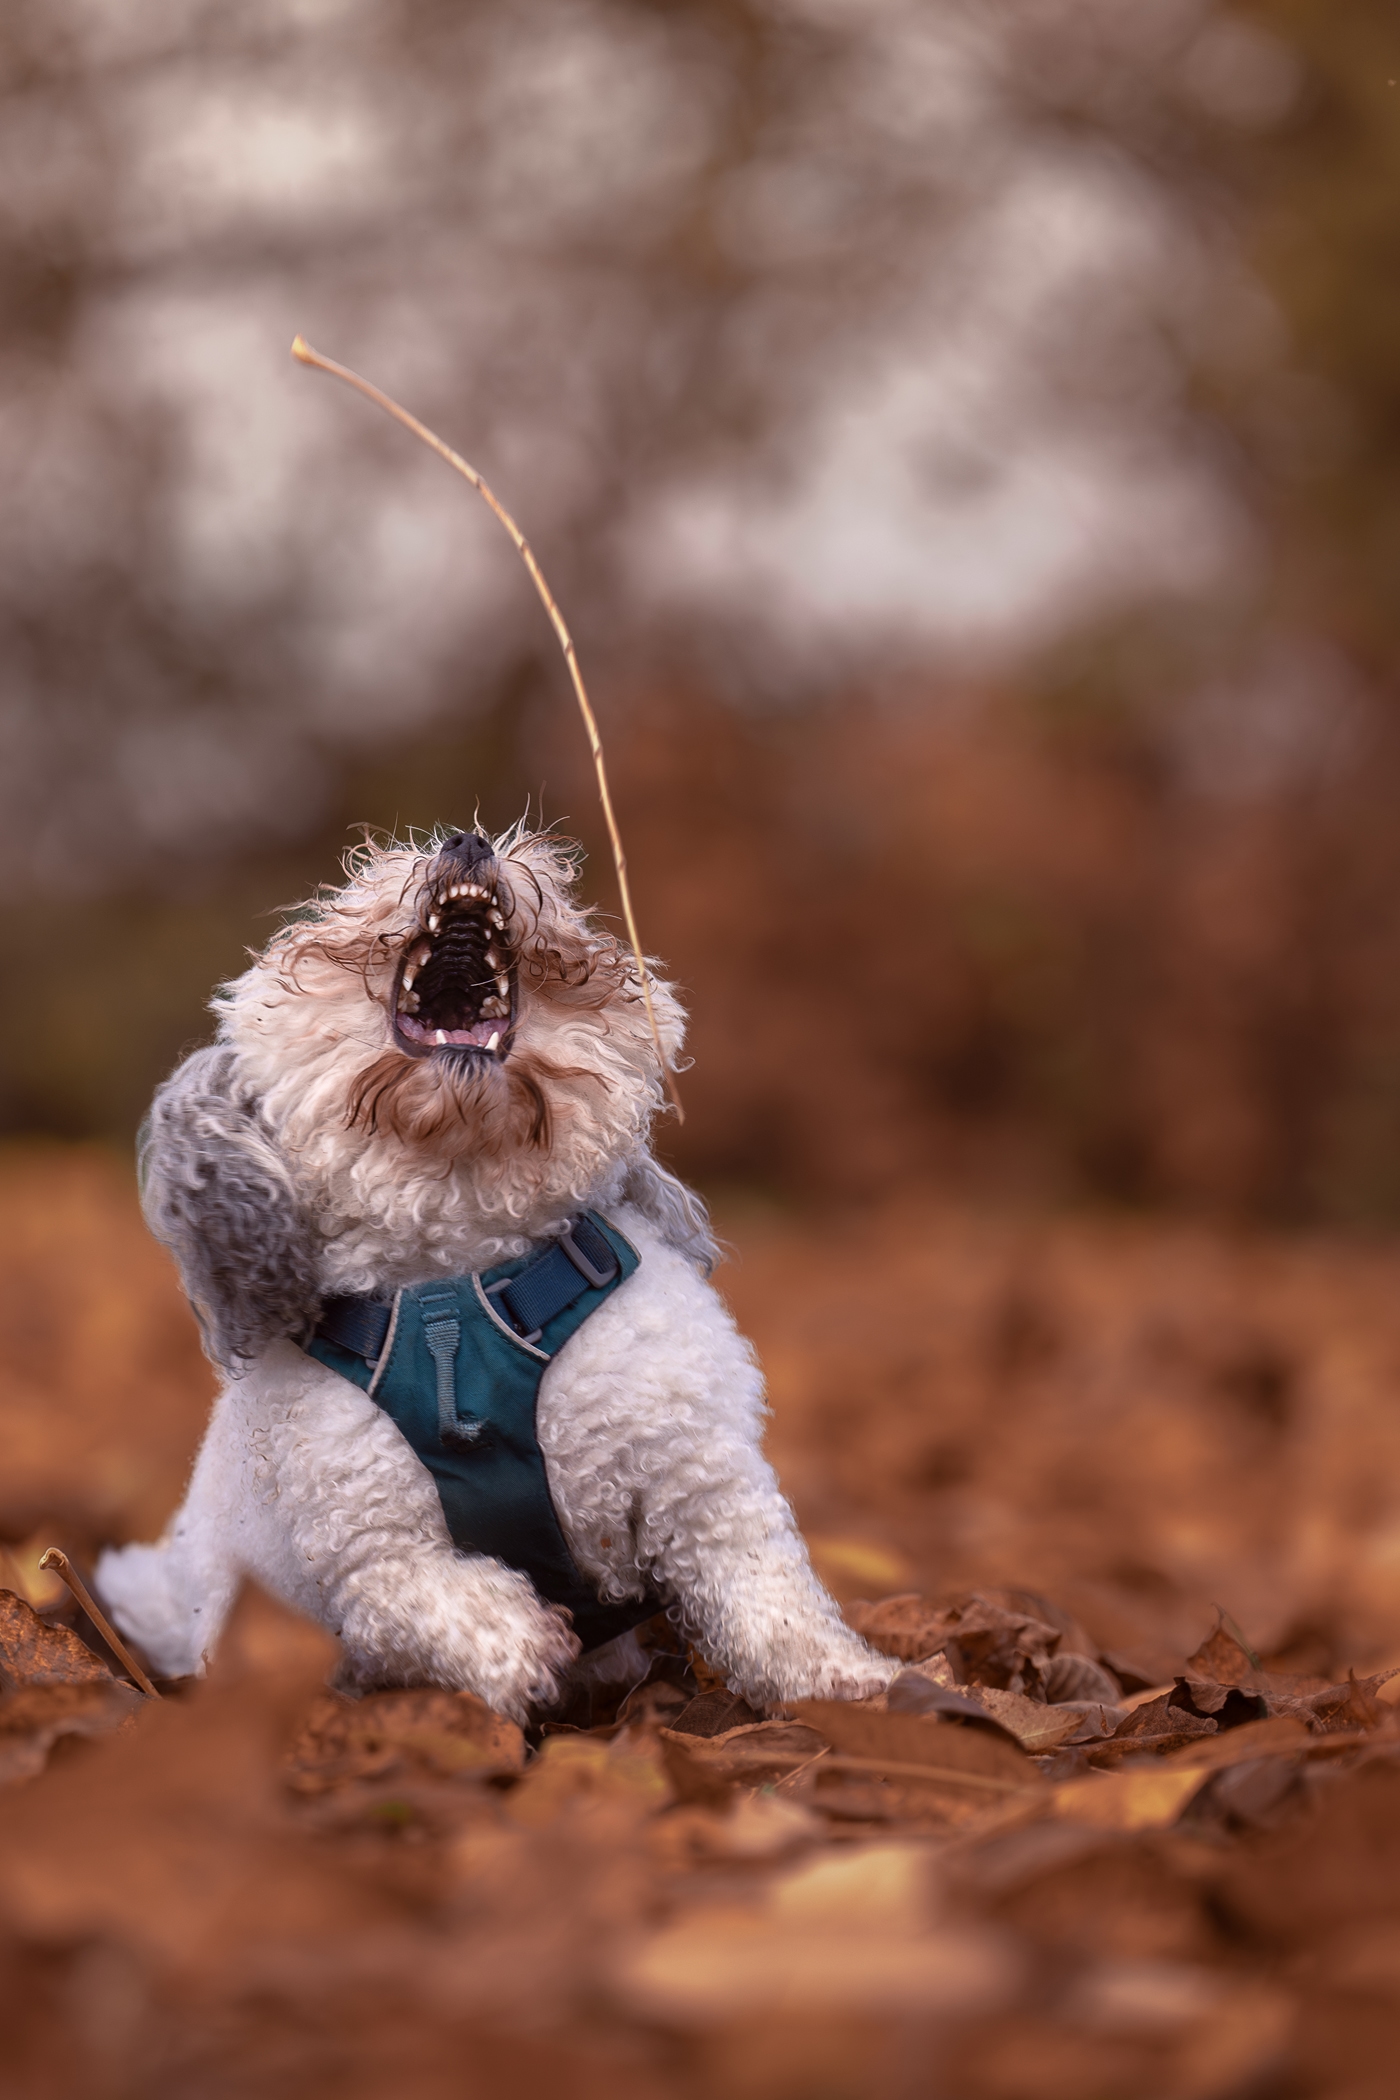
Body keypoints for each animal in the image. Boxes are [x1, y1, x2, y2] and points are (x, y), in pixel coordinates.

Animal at [98, 823, 894, 1721]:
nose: (467, 842)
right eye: (356, 876)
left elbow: (766, 1589)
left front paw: (843, 1682)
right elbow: (420, 1596)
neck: (462, 1295)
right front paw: (517, 1643)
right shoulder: (361, 1543)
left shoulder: (696, 1468)